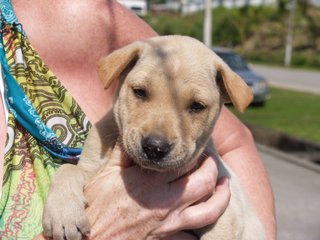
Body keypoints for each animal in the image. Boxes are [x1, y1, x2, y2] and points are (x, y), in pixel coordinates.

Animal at [43, 35, 268, 240]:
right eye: (140, 92)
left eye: (197, 106)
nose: (155, 148)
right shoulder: (90, 166)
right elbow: (68, 169)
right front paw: (64, 213)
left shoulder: (225, 212)